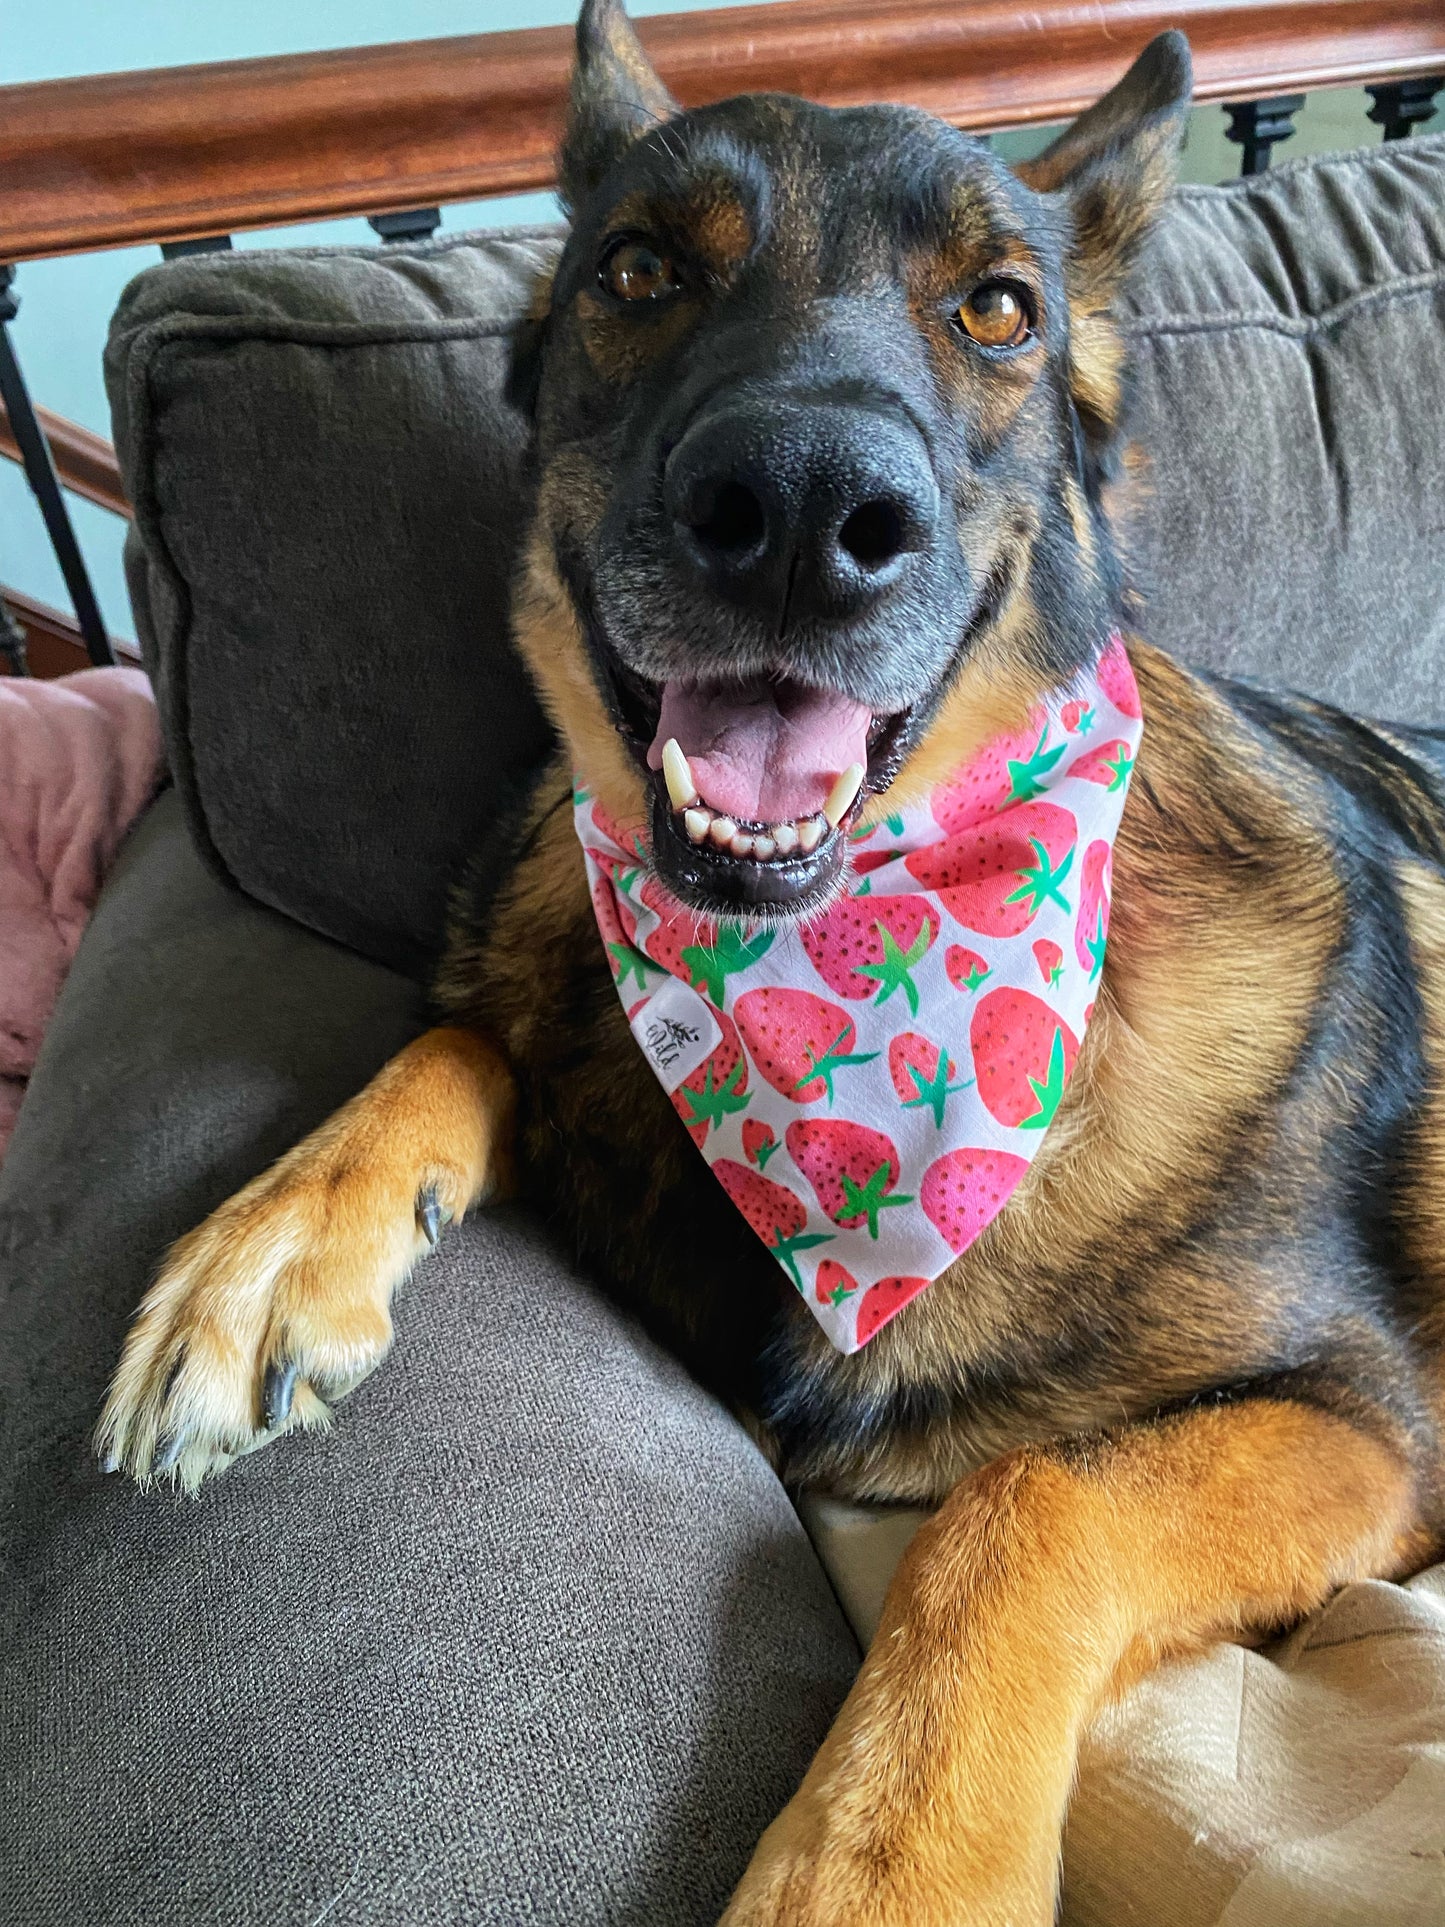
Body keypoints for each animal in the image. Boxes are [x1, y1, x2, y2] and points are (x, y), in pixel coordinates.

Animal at [99, 7, 1445, 1919]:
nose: (805, 510)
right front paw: (279, 1237)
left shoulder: (1363, 1424)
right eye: (638, 271)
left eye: (1000, 309)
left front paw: (886, 1863)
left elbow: (1028, 1497)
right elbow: (464, 1038)